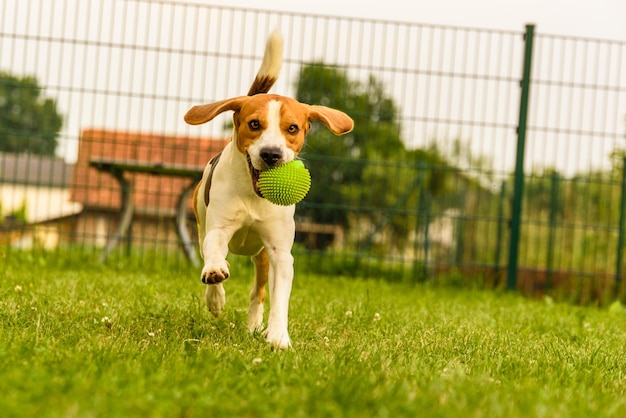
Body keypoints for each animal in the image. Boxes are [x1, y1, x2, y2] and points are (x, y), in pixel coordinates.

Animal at [183, 31, 354, 348]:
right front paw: (215, 278)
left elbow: (280, 297)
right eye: (254, 124)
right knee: (209, 254)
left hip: (262, 256)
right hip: (201, 223)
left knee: (258, 292)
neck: (253, 197)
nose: (272, 154)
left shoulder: (279, 252)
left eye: (292, 128)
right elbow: (214, 252)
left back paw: (254, 327)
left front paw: (278, 337)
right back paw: (215, 297)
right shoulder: (218, 228)